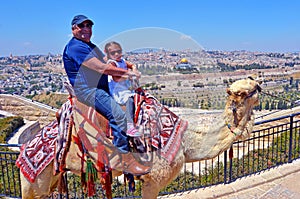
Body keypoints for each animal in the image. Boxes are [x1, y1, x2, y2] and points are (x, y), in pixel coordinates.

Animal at [19, 77, 262, 199]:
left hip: (51, 179)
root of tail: (23, 151)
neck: (185, 142)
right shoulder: (153, 179)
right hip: (34, 181)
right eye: (241, 91)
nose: (259, 85)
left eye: (250, 84)